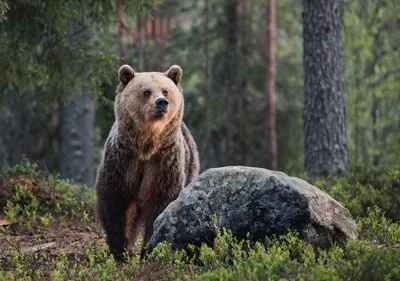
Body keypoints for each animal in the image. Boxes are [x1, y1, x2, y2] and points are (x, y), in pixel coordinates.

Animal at [94, 64, 200, 260]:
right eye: (146, 92)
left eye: (165, 91)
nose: (161, 102)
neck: (146, 146)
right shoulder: (123, 160)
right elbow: (114, 201)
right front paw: (120, 249)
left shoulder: (163, 162)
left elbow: (162, 202)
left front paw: (149, 249)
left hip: (190, 167)